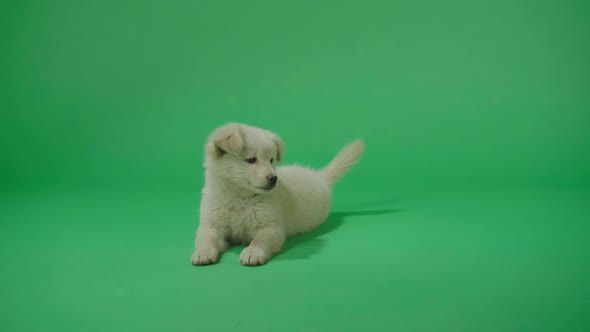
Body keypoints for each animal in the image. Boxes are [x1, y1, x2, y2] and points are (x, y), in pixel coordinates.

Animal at [192, 123, 366, 266]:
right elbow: (205, 238)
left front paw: (252, 252)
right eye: (251, 160)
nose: (273, 179)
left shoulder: (270, 227)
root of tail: (320, 177)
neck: (239, 197)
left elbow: (259, 241)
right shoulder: (211, 224)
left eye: (271, 160)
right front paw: (202, 253)